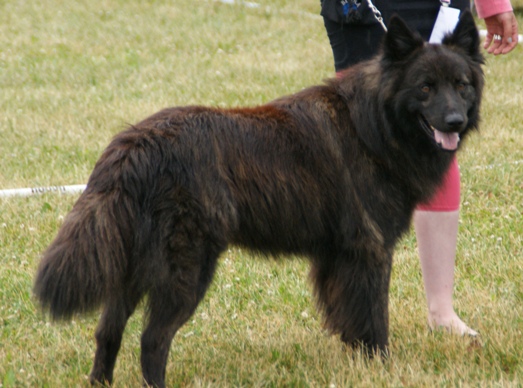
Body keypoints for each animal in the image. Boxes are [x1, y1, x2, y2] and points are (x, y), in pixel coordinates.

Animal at [31, 11, 484, 384]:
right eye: (425, 88)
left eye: (461, 85)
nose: (455, 121)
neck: (376, 123)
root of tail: (134, 146)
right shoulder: (370, 250)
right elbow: (374, 319)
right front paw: (382, 367)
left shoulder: (338, 257)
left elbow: (349, 317)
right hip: (187, 271)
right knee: (152, 341)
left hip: (133, 269)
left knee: (107, 332)